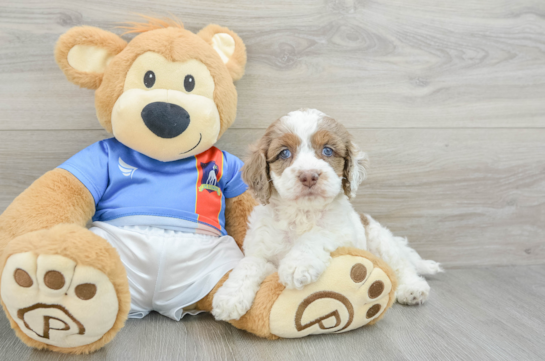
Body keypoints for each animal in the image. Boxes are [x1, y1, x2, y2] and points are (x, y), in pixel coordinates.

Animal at [210, 108, 440, 320]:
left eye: (328, 151)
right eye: (284, 153)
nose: (309, 176)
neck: (302, 213)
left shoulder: (341, 233)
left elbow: (317, 235)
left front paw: (297, 264)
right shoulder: (261, 251)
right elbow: (248, 265)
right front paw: (229, 298)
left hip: (379, 239)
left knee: (401, 265)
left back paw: (412, 288)